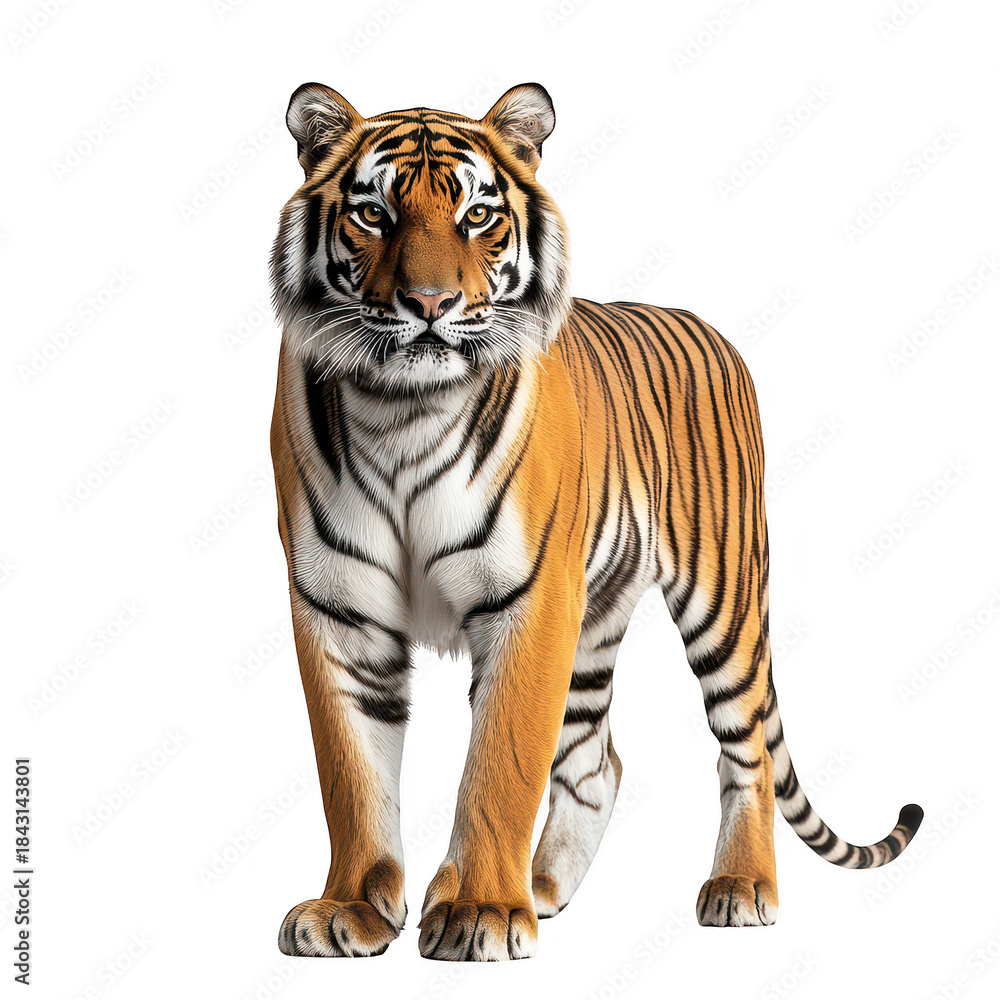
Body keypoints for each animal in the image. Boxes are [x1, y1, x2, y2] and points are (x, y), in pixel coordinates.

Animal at [268, 81, 923, 961]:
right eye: (373, 213)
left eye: (477, 215)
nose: (431, 304)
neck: (400, 409)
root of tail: (711, 329)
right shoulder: (337, 607)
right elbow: (351, 771)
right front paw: (351, 909)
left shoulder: (530, 601)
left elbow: (501, 761)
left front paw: (481, 910)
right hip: (594, 621)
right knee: (596, 762)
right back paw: (542, 887)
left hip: (724, 600)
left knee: (745, 747)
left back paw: (740, 887)